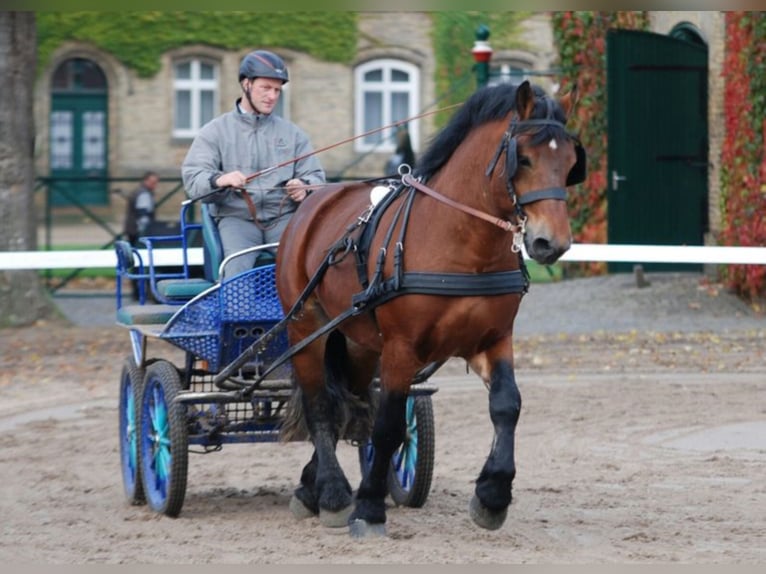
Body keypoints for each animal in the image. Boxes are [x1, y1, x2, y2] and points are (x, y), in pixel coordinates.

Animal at [278, 82, 588, 540]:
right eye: (525, 158)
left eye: (569, 163)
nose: (553, 243)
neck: (463, 246)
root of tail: (314, 201)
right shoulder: (401, 348)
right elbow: (389, 424)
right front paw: (368, 509)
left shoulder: (493, 340)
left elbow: (507, 406)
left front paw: (492, 496)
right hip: (306, 330)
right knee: (322, 404)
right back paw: (333, 494)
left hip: (358, 342)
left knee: (349, 403)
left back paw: (309, 486)